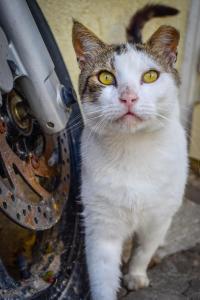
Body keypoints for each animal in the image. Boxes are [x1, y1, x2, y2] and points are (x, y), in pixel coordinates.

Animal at [72, 4, 188, 300]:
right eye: (105, 77)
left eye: (150, 76)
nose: (128, 97)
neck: (133, 151)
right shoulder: (101, 225)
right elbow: (102, 275)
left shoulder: (157, 218)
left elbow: (143, 250)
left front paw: (136, 275)